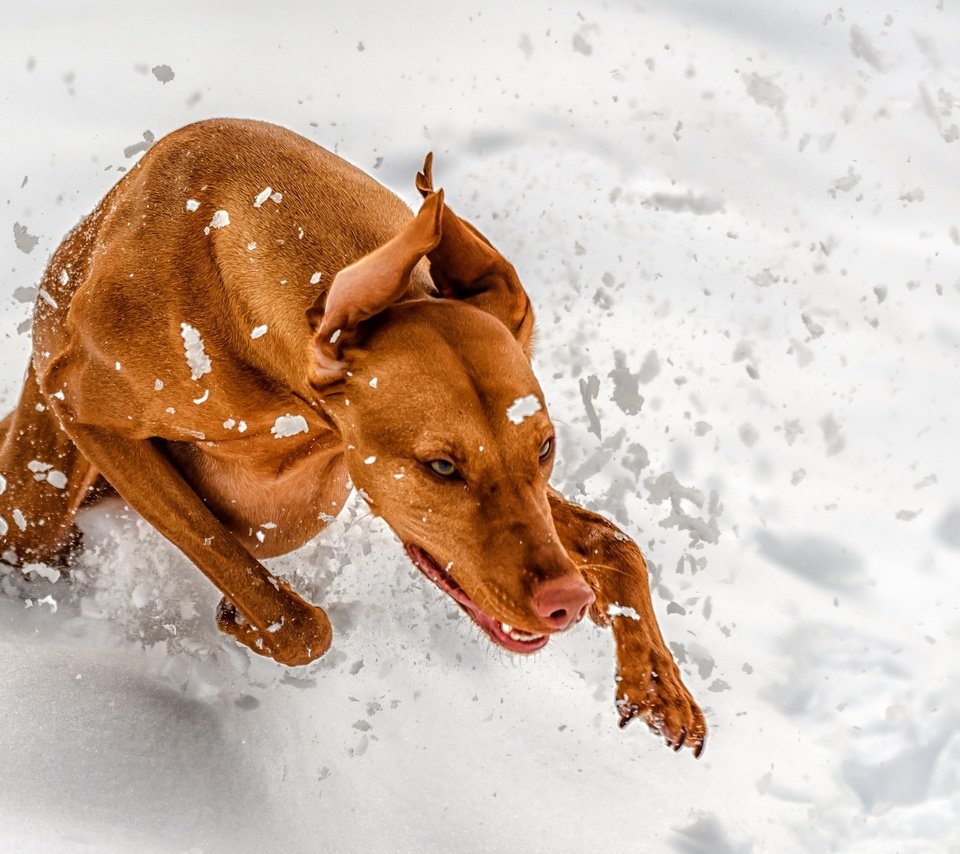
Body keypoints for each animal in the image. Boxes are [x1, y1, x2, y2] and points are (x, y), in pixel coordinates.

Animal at [0, 118, 704, 756]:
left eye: (545, 448)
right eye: (440, 468)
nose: (568, 602)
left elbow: (614, 541)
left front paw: (657, 684)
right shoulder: (85, 415)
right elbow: (285, 610)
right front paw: (245, 612)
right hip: (36, 500)